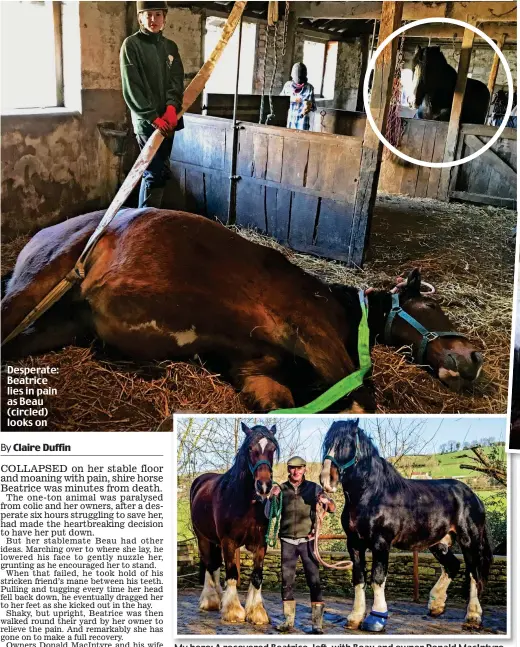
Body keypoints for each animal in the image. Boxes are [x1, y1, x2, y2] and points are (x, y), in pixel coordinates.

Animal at [190, 422, 278, 624]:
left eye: (273, 449)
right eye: (250, 449)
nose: (264, 486)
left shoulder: (260, 543)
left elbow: (257, 576)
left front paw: (256, 612)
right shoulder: (228, 541)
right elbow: (231, 573)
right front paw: (233, 611)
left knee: (214, 565)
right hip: (203, 538)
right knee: (210, 565)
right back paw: (210, 601)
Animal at [318, 420, 494, 632]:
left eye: (347, 443)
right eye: (327, 443)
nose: (327, 479)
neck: (372, 495)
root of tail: (472, 495)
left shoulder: (380, 543)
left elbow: (377, 578)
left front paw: (376, 619)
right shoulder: (354, 544)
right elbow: (359, 579)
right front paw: (354, 618)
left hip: (469, 540)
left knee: (474, 572)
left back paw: (473, 617)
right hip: (439, 543)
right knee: (453, 566)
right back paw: (436, 605)